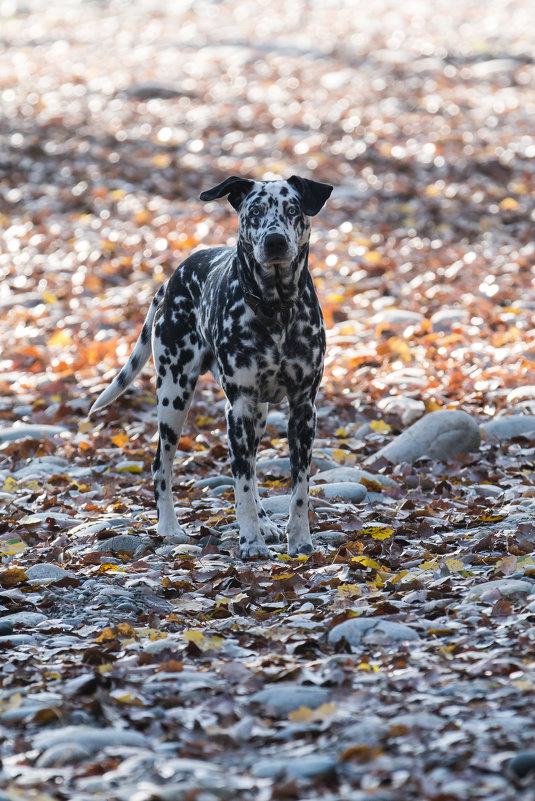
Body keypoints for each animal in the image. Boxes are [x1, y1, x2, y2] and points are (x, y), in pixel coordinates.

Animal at [90, 175, 332, 556]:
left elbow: (299, 489)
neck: (275, 309)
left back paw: (266, 523)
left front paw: (300, 540)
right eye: (255, 211)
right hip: (175, 398)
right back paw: (170, 528)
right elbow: (242, 486)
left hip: (256, 415)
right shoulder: (239, 408)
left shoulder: (303, 410)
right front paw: (250, 542)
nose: (275, 241)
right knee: (162, 465)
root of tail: (172, 278)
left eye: (293, 209)